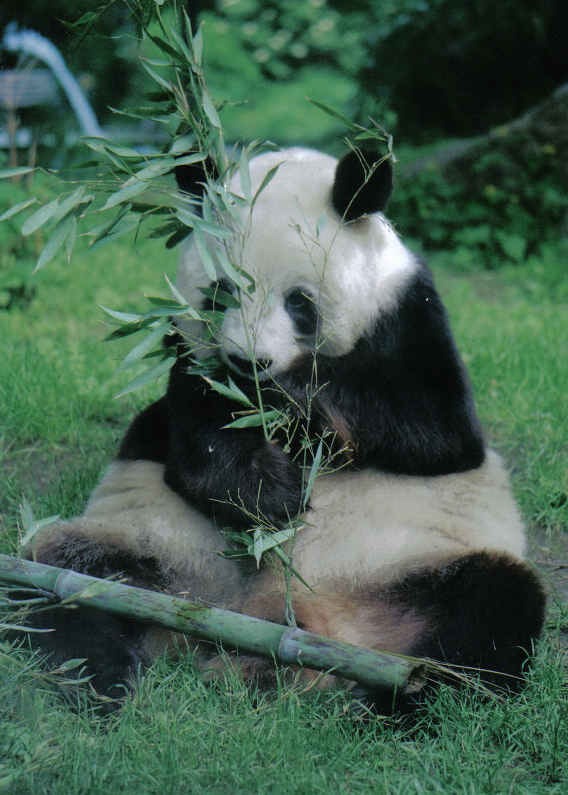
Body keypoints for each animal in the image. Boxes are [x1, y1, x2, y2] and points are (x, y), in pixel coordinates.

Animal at [25, 145, 544, 708]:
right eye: (221, 293)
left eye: (299, 301)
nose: (249, 362)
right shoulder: (188, 365)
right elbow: (196, 441)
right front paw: (269, 491)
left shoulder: (408, 314)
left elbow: (437, 432)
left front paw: (288, 404)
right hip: (153, 547)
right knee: (66, 579)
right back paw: (99, 679)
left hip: (413, 568)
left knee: (489, 617)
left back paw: (394, 702)